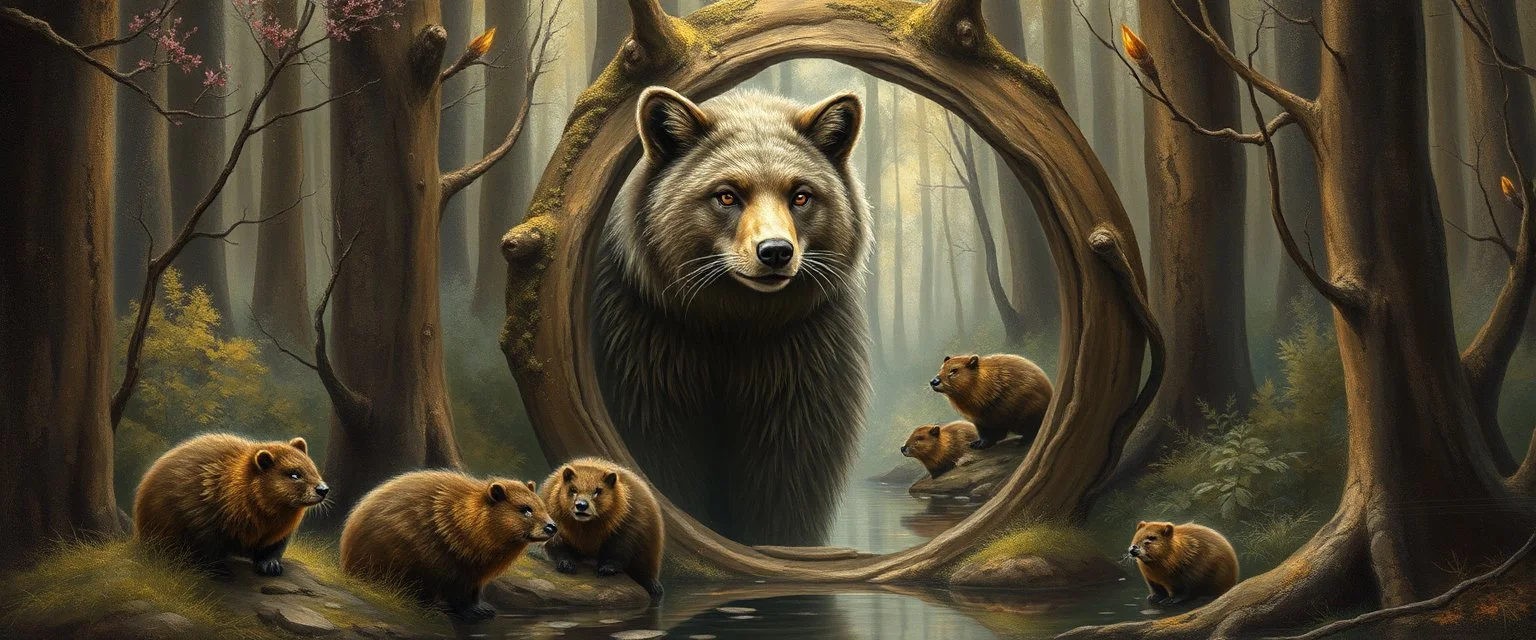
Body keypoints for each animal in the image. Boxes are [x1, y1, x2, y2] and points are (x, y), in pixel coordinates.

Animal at [133, 433, 328, 576]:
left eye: (312, 468)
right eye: (294, 474)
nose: (323, 489)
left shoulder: (280, 533)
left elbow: (274, 548)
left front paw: (271, 565)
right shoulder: (201, 517)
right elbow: (207, 547)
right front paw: (219, 570)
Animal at [339, 470, 556, 620]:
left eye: (542, 506)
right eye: (525, 509)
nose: (552, 527)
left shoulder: (475, 571)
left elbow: (474, 590)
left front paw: (483, 608)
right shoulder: (449, 563)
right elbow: (456, 590)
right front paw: (470, 612)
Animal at [540, 457, 665, 602]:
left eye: (597, 490)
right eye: (573, 489)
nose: (581, 505)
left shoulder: (629, 523)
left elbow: (619, 549)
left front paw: (607, 569)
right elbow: (555, 545)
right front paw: (566, 564)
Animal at [590, 85, 872, 545]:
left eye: (800, 194)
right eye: (727, 195)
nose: (775, 251)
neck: (735, 324)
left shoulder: (803, 365)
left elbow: (789, 483)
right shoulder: (646, 353)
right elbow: (664, 460)